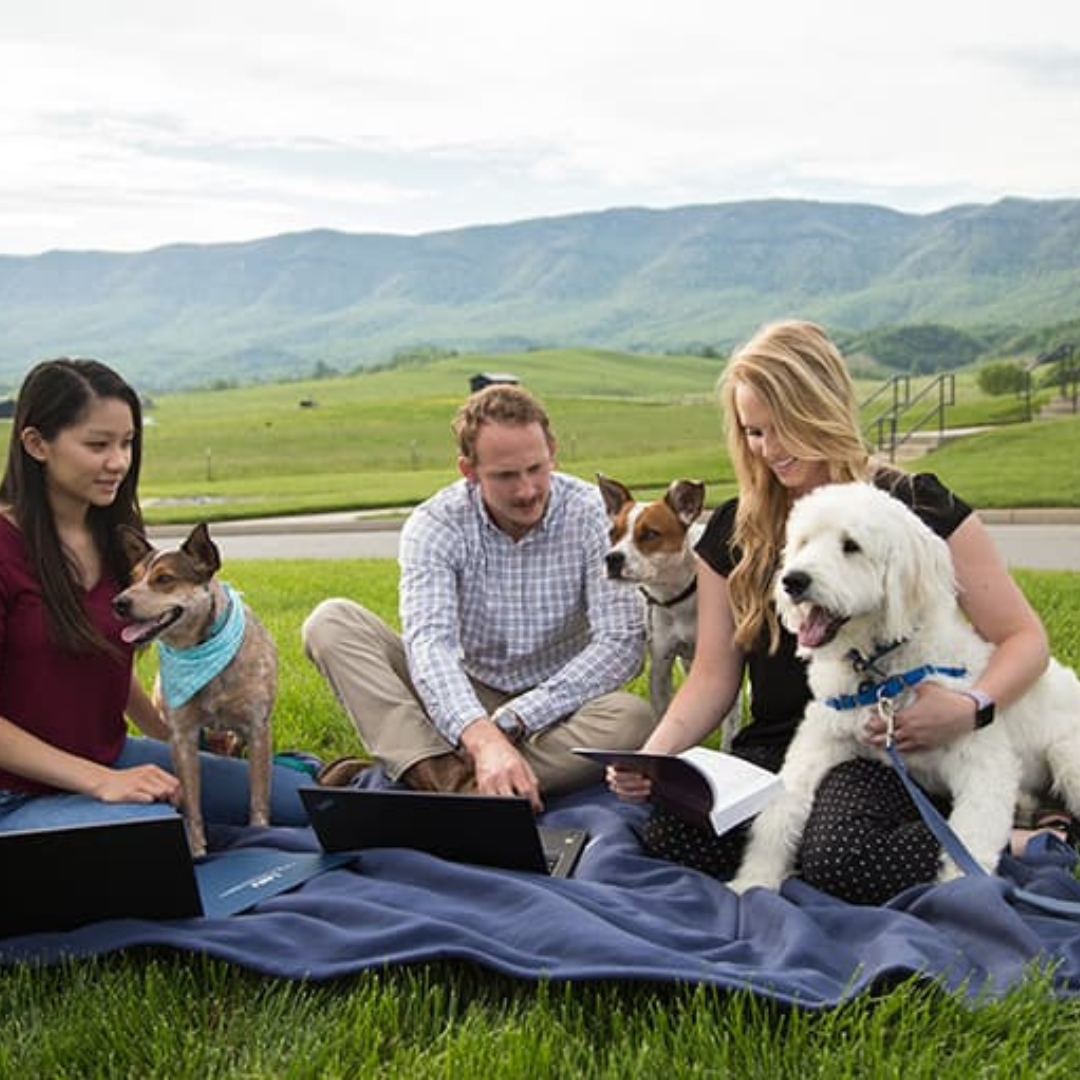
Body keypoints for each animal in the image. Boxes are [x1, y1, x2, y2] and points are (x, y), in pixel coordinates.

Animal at [110, 518, 276, 855]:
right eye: (132, 579)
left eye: (164, 579)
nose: (118, 602)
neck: (200, 648)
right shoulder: (182, 735)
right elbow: (191, 801)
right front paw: (197, 848)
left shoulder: (258, 728)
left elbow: (258, 794)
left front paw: (259, 833)